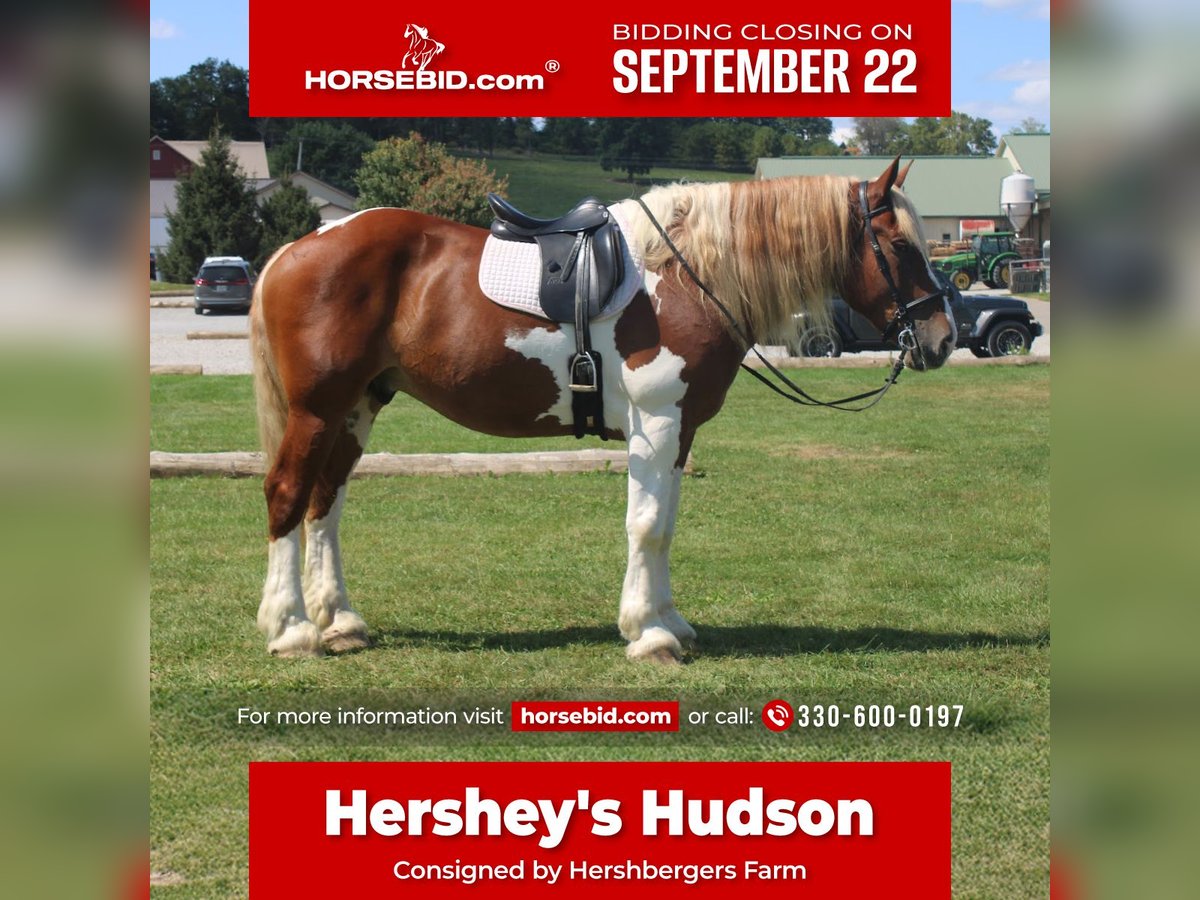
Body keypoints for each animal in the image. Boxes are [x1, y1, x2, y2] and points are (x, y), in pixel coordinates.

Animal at [249, 157, 955, 663]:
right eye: (900, 248)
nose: (943, 338)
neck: (687, 273)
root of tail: (298, 248)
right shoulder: (658, 424)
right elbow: (645, 526)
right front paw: (650, 636)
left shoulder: (680, 431)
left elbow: (666, 526)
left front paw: (669, 621)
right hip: (317, 410)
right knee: (288, 494)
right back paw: (290, 629)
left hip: (356, 407)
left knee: (325, 503)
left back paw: (340, 621)